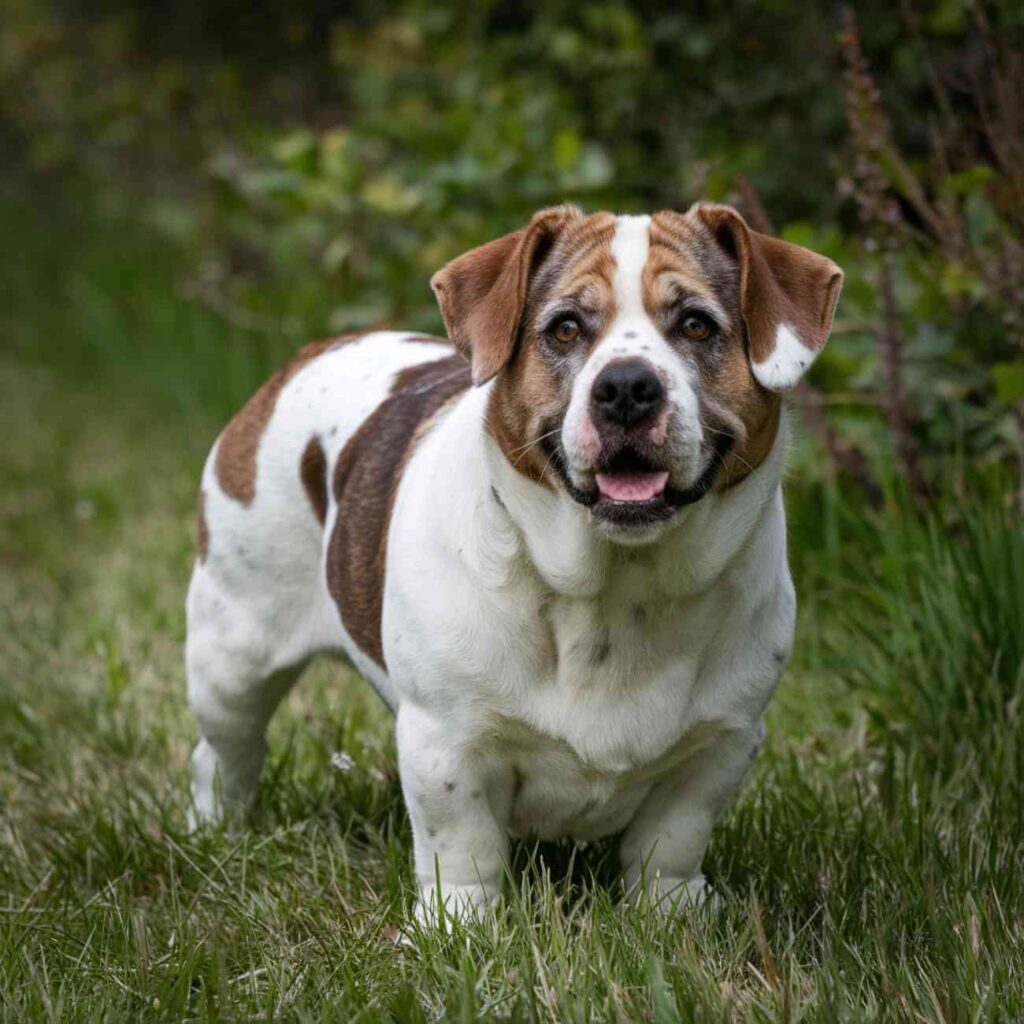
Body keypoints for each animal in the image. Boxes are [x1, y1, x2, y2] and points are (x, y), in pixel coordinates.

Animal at [184, 203, 839, 925]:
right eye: (566, 327)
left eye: (696, 324)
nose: (627, 387)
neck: (618, 585)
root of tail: (312, 353)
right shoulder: (447, 742)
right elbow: (463, 847)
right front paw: (458, 927)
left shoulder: (720, 743)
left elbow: (672, 840)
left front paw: (671, 914)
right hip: (230, 661)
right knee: (224, 753)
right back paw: (218, 832)